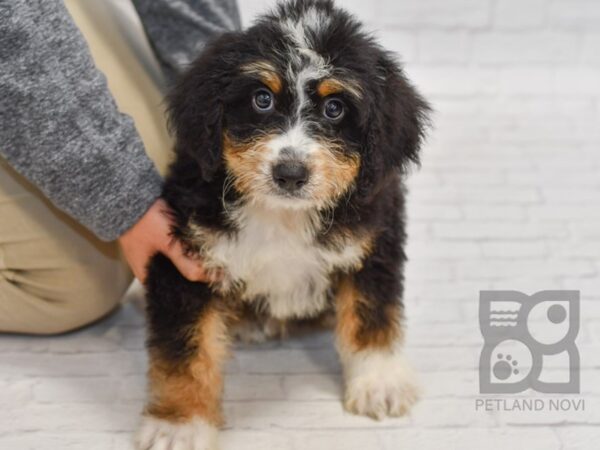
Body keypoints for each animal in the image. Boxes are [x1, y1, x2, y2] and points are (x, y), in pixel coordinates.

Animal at [137, 1, 426, 448]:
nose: (290, 173)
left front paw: (379, 381)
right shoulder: (184, 254)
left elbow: (372, 313)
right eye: (262, 99)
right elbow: (184, 347)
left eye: (334, 108)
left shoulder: (375, 239)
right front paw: (179, 423)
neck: (283, 215)